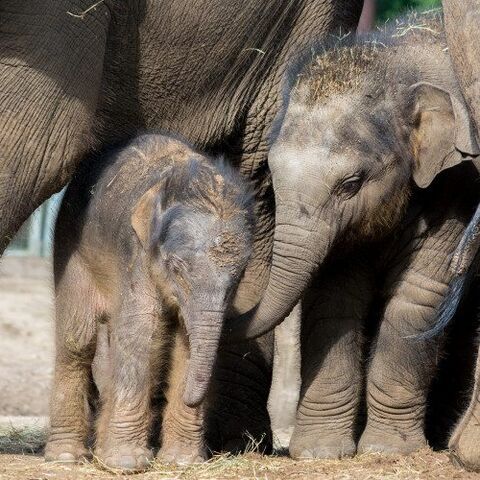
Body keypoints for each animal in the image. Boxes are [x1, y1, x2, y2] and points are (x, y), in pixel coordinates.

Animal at [45, 134, 255, 472]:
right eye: (177, 268)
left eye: (237, 278)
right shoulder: (135, 251)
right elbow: (142, 330)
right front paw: (125, 463)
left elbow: (187, 343)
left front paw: (182, 462)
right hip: (72, 248)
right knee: (77, 339)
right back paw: (66, 457)